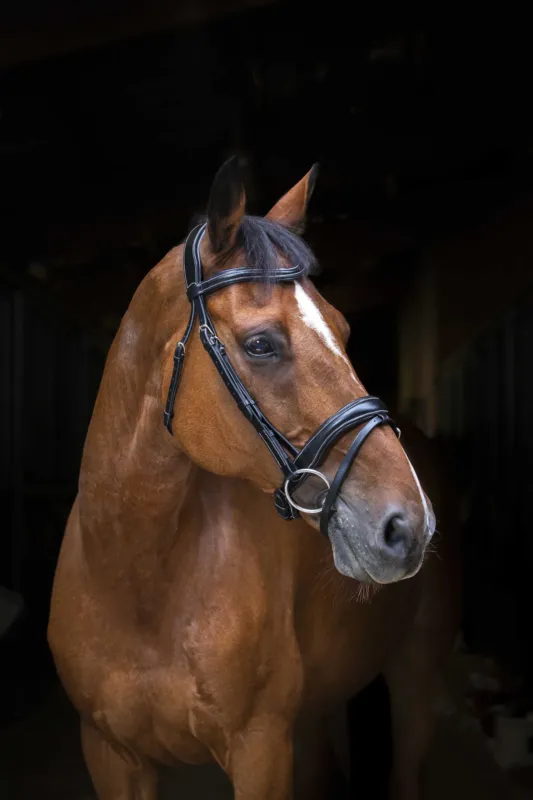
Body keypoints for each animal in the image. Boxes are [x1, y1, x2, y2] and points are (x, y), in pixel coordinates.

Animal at [48, 157, 461, 799]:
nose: (408, 525)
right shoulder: (111, 754)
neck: (137, 584)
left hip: (415, 675)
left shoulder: (260, 750)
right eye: (261, 343)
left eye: (343, 330)